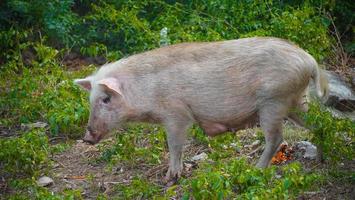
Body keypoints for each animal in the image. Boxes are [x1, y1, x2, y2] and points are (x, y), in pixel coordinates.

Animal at [74, 36, 328, 180]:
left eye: (106, 99)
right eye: (91, 100)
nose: (86, 137)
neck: (145, 91)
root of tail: (308, 60)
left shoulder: (177, 114)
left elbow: (175, 145)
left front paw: (170, 178)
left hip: (273, 102)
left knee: (275, 139)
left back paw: (255, 169)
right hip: (296, 102)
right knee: (319, 124)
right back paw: (320, 157)